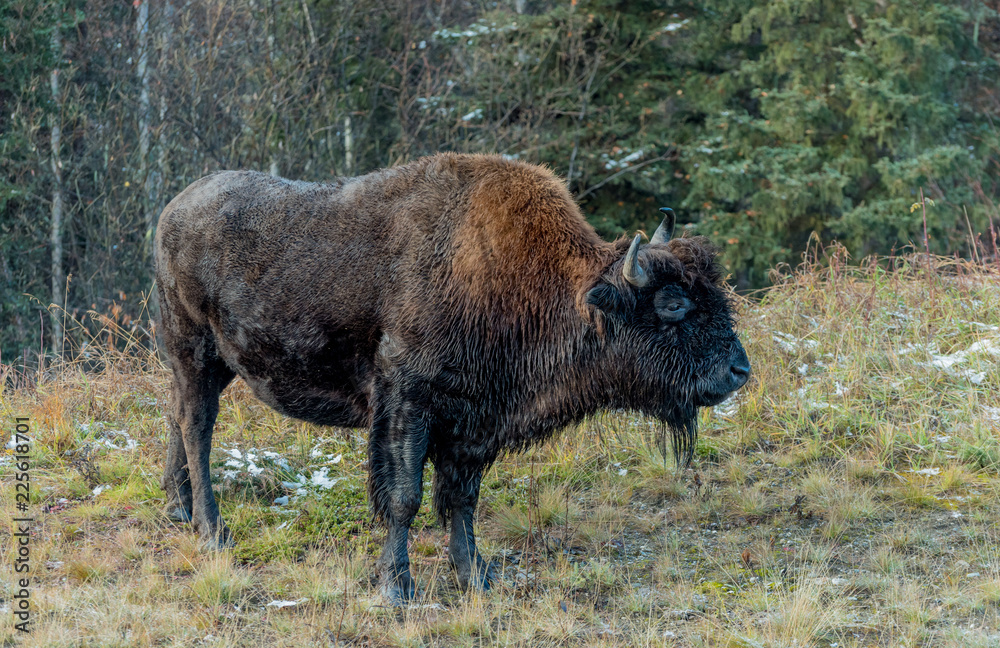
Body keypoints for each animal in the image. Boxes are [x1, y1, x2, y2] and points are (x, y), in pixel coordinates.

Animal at [154, 153, 752, 604]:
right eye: (673, 305)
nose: (739, 370)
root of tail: (174, 208)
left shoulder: (475, 425)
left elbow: (462, 501)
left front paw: (477, 578)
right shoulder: (408, 408)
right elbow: (405, 497)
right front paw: (397, 588)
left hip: (209, 365)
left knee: (179, 418)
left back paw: (178, 509)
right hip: (194, 350)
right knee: (197, 426)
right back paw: (212, 531)